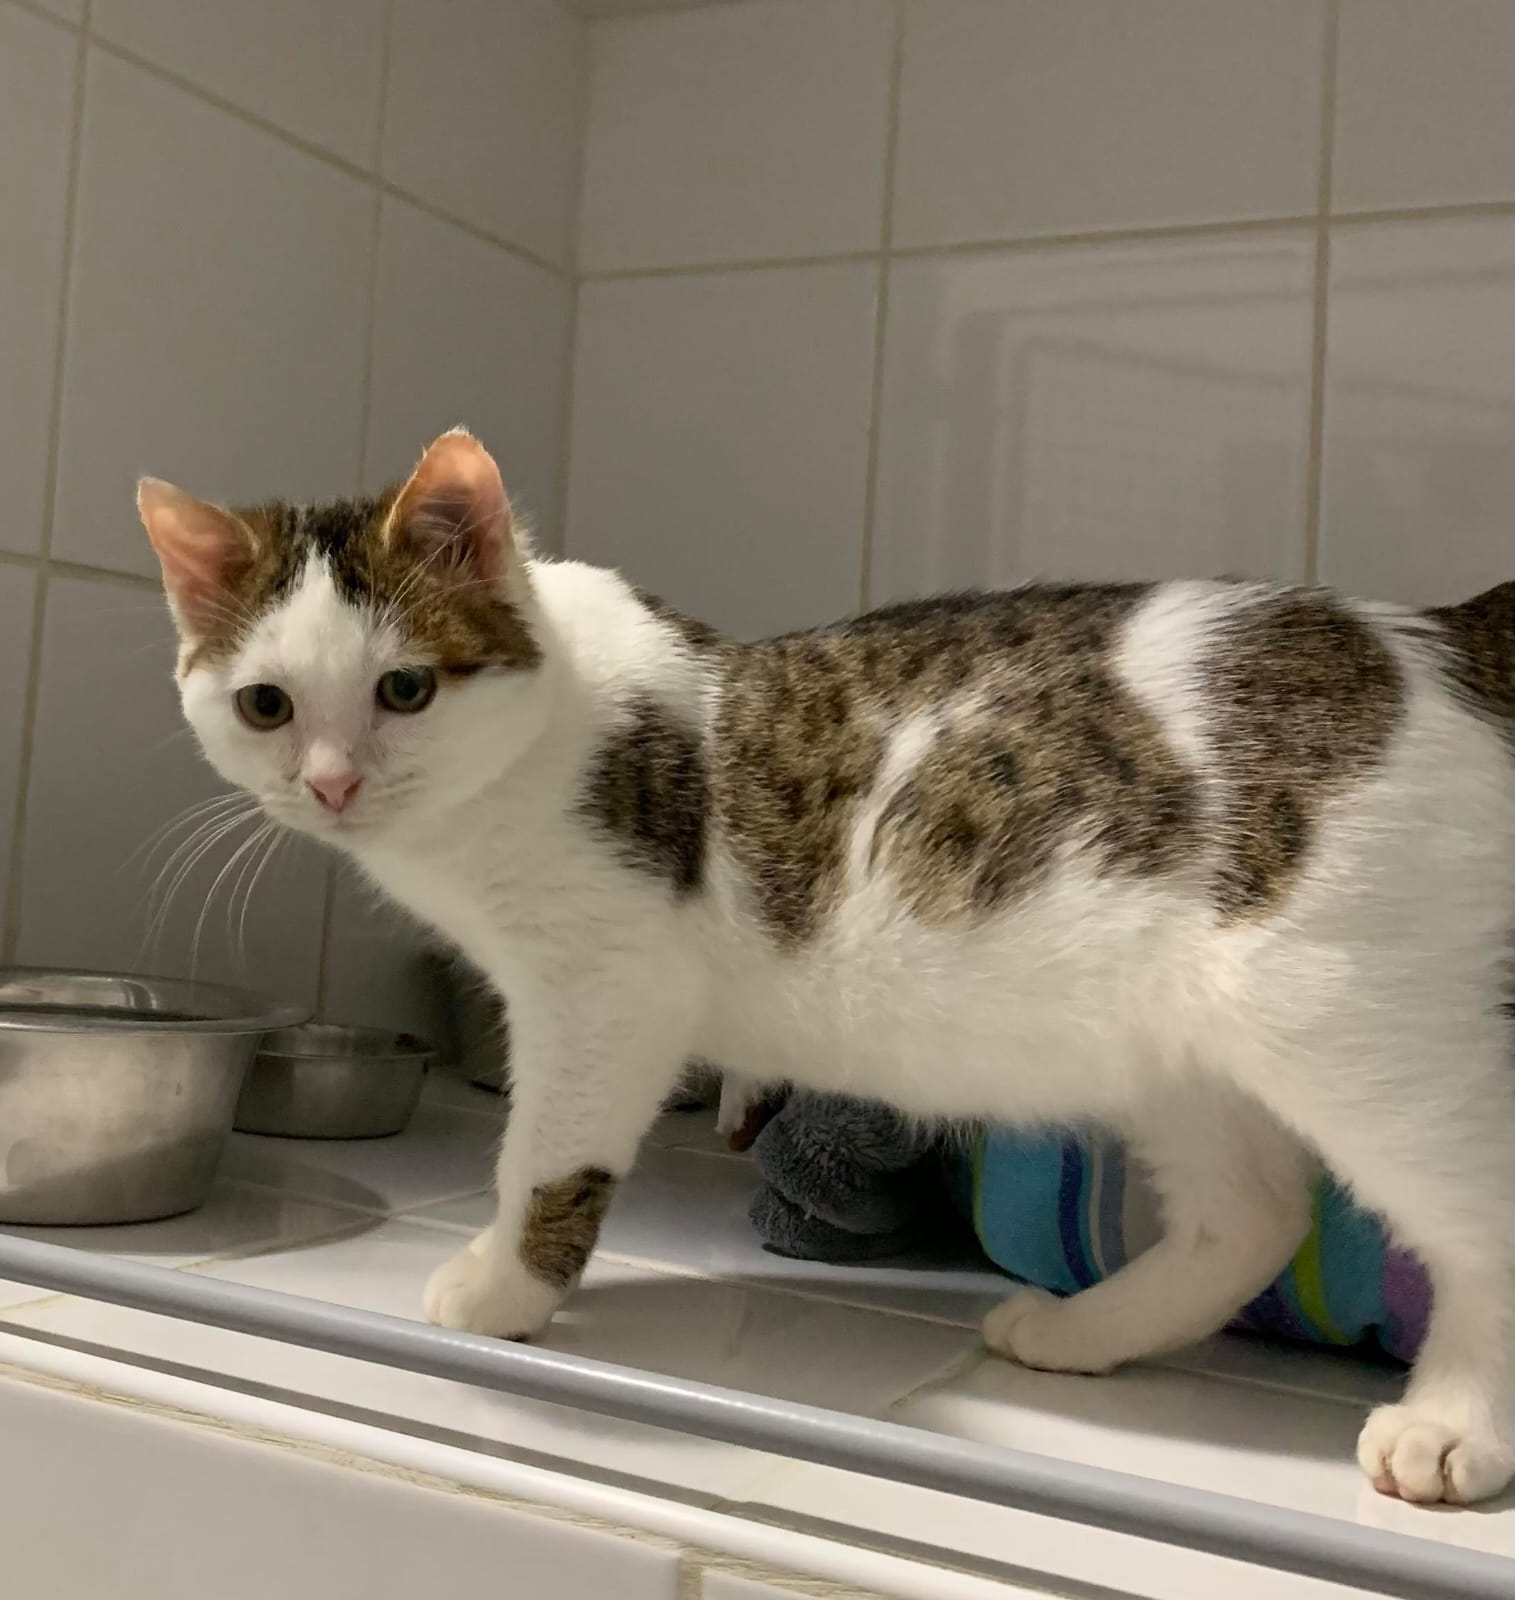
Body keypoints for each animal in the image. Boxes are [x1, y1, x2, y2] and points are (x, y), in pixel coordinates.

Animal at [137, 428, 1514, 1506]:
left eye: (406, 688)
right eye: (266, 705)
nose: (332, 784)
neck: (553, 716)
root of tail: (1440, 641)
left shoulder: (604, 984)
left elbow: (548, 1154)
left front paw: (504, 1289)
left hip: (1341, 1008)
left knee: (1479, 1207)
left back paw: (1452, 1427)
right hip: (1179, 1041)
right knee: (1251, 1212)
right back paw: (1083, 1331)